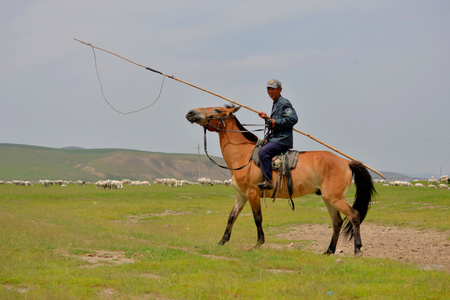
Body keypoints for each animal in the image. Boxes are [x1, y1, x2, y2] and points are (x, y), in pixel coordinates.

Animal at [185, 104, 374, 254]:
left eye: (217, 110)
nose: (191, 112)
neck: (244, 155)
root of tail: (346, 161)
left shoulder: (253, 193)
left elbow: (257, 218)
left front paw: (258, 243)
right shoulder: (242, 195)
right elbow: (232, 217)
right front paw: (222, 241)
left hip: (335, 198)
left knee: (354, 216)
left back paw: (357, 249)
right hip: (329, 199)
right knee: (337, 222)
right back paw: (329, 251)